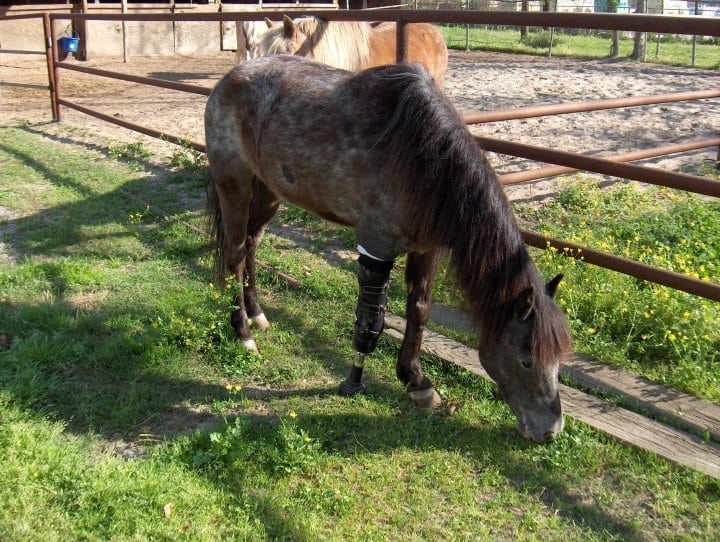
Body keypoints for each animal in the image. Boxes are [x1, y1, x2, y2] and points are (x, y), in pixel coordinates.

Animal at [204, 56, 572, 446]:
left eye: (559, 360)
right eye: (526, 359)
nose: (551, 430)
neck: (421, 159)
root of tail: (230, 77)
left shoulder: (427, 249)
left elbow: (420, 308)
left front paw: (416, 381)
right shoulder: (376, 246)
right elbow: (369, 322)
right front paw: (354, 381)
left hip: (269, 191)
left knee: (251, 246)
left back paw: (258, 314)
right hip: (235, 184)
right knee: (234, 254)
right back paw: (243, 333)